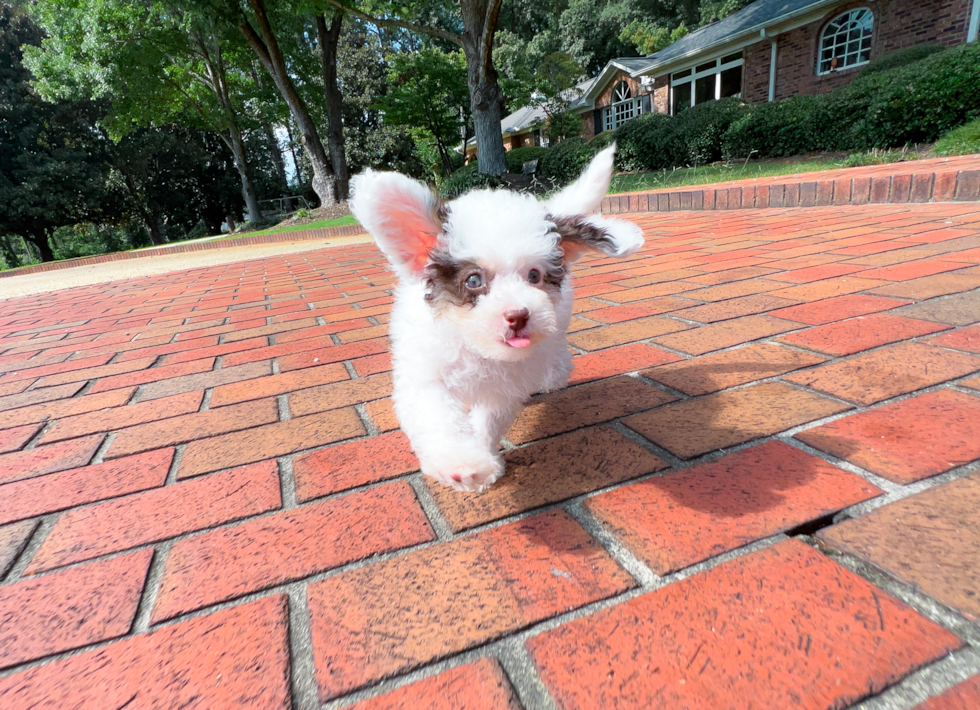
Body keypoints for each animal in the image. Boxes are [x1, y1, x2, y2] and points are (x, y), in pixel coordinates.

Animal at [350, 143, 644, 492]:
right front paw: (462, 461)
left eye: (534, 275)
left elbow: (489, 419)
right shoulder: (425, 375)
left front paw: (481, 455)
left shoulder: (504, 391)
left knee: (555, 348)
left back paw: (554, 373)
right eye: (474, 280)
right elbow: (438, 415)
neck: (476, 347)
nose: (518, 315)